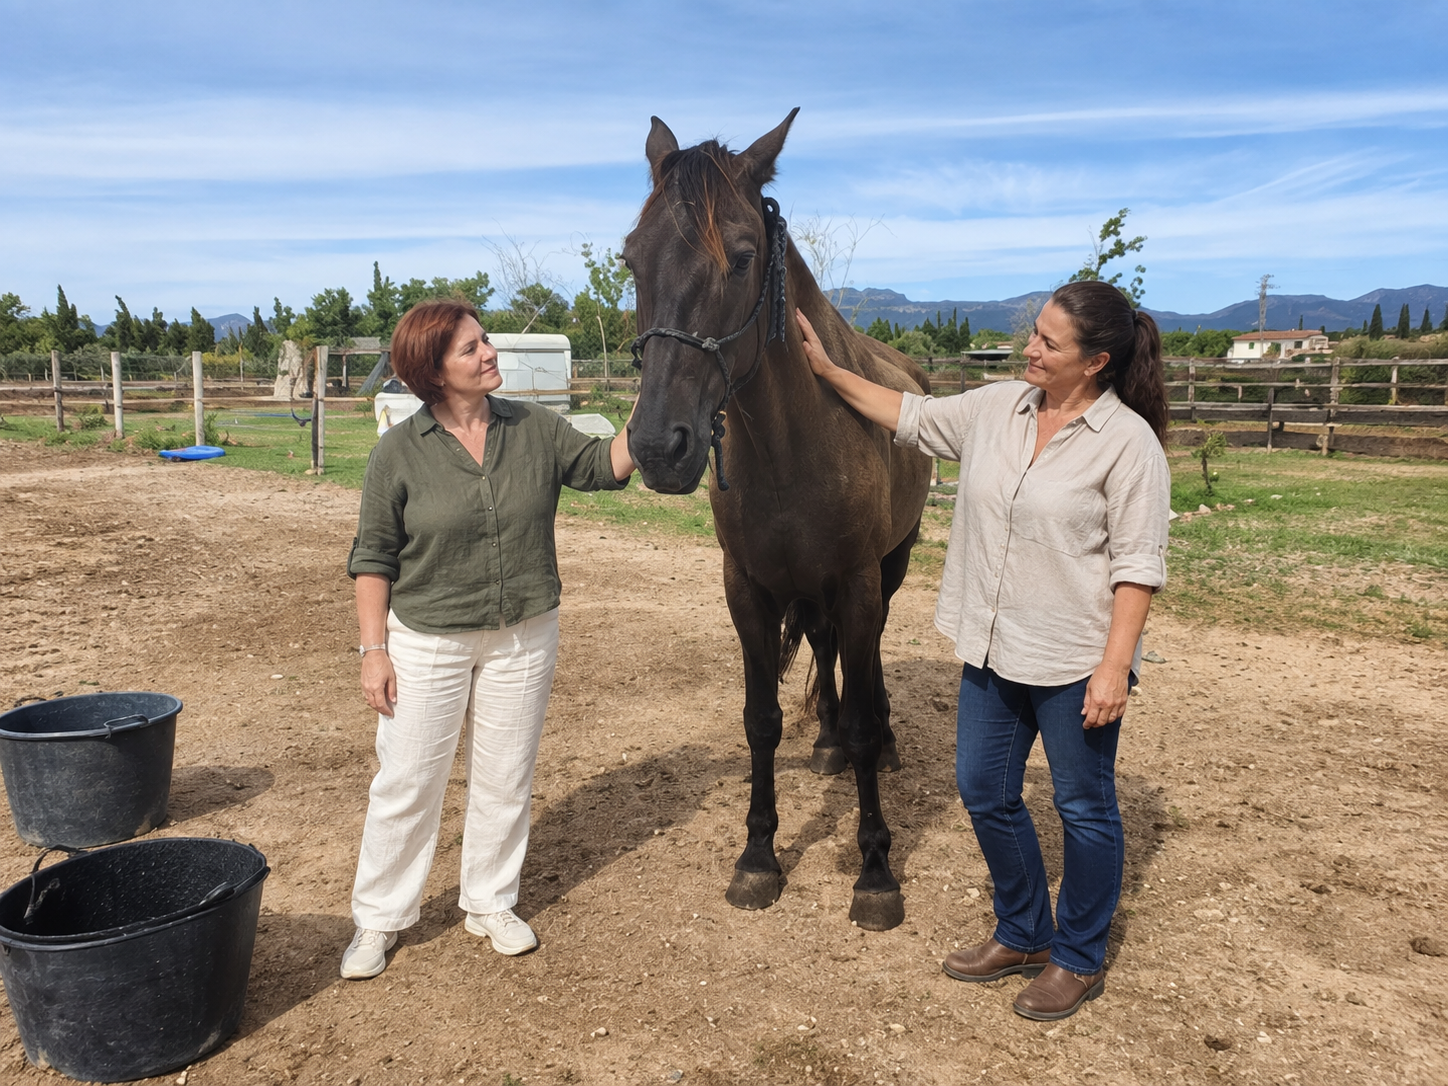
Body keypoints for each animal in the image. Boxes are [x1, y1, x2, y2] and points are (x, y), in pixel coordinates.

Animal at [623, 109, 933, 930]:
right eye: (631, 258)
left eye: (741, 258)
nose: (657, 446)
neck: (793, 443)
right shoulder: (749, 590)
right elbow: (760, 720)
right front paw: (758, 855)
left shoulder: (857, 581)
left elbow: (861, 719)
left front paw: (875, 870)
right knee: (826, 653)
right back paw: (822, 742)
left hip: (890, 569)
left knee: (869, 658)